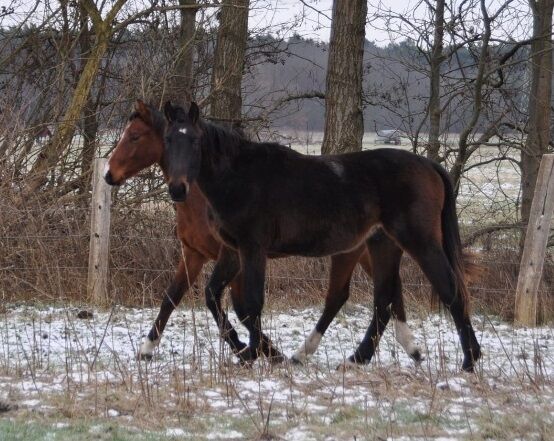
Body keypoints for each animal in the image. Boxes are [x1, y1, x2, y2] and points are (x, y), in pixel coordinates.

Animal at [105, 101, 420, 362]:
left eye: (134, 136)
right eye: (167, 141)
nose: (109, 175)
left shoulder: (239, 255)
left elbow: (239, 305)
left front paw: (256, 349)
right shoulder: (196, 254)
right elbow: (174, 297)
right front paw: (147, 348)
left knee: (384, 294)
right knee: (383, 293)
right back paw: (407, 349)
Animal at [163, 101, 478, 370]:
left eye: (194, 141)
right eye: (168, 141)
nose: (177, 189)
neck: (240, 176)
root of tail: (429, 166)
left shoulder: (253, 248)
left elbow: (252, 303)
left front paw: (254, 353)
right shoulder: (232, 250)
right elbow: (214, 296)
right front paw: (248, 351)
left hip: (420, 242)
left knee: (450, 290)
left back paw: (469, 361)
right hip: (383, 245)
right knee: (382, 301)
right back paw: (357, 359)